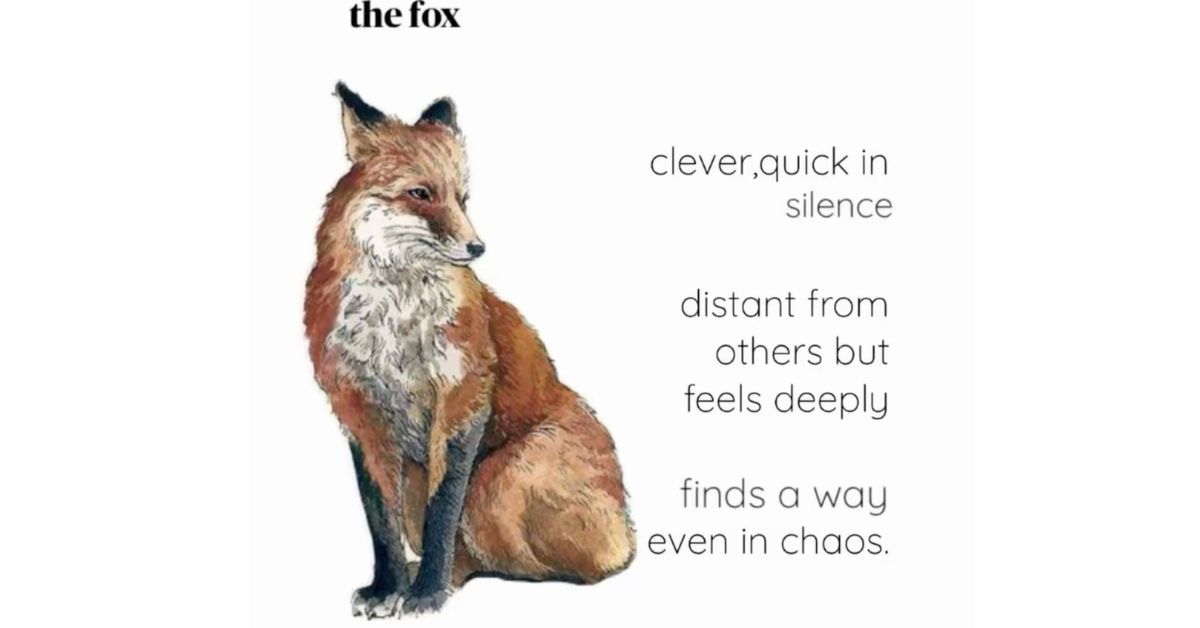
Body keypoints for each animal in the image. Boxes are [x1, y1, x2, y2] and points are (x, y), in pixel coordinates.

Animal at [304, 83, 635, 618]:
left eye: (462, 198)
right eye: (421, 194)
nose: (477, 248)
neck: (395, 320)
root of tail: (627, 529)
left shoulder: (462, 398)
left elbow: (443, 513)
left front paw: (427, 593)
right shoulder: (357, 409)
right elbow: (380, 522)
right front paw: (387, 586)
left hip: (500, 481)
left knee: (548, 563)